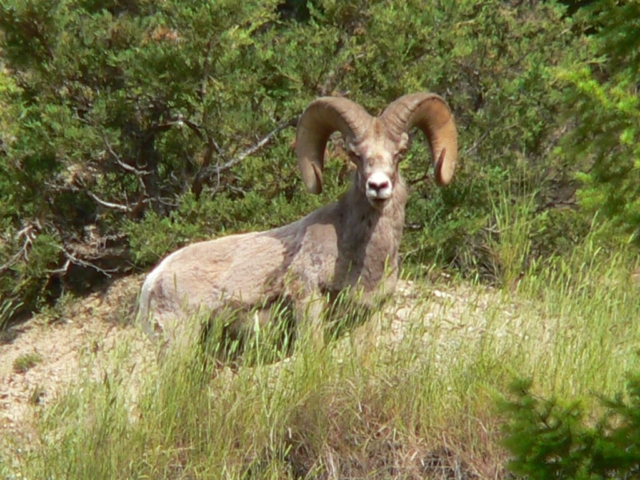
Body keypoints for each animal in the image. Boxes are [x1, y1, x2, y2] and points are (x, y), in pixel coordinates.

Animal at [139, 94, 460, 354]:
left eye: (400, 153)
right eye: (355, 154)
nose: (378, 186)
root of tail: (153, 280)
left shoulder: (366, 316)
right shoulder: (309, 302)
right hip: (179, 343)